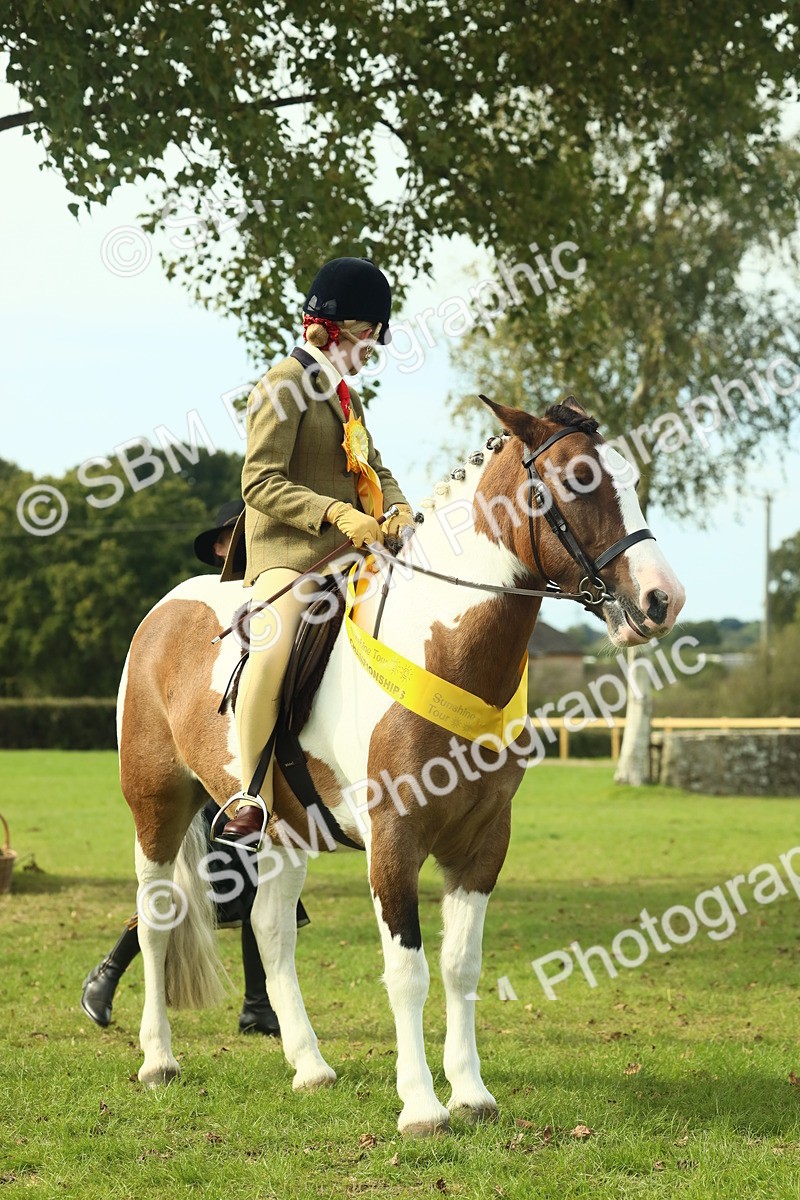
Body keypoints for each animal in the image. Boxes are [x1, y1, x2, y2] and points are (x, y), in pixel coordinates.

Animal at [117, 395, 684, 1136]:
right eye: (580, 482)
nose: (662, 600)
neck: (440, 646)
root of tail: (164, 609)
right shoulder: (394, 841)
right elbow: (408, 971)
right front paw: (420, 1105)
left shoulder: (482, 842)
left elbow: (460, 966)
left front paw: (470, 1093)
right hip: (157, 804)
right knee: (156, 920)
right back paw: (158, 1060)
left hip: (284, 829)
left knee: (270, 930)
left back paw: (310, 1066)